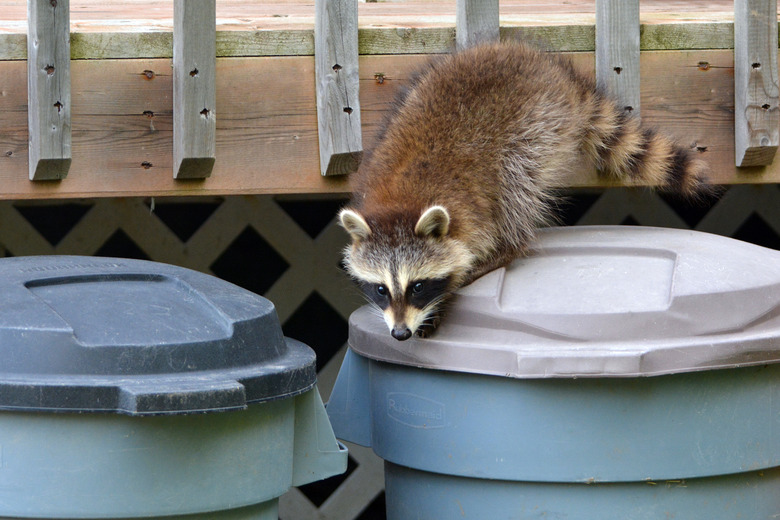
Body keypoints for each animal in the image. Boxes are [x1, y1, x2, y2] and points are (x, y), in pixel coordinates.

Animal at [338, 40, 708, 342]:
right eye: (381, 289)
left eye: (417, 286)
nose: (400, 333)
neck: (402, 202)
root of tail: (556, 73)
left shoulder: (473, 213)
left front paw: (450, 289)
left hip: (536, 129)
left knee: (516, 185)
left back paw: (510, 245)